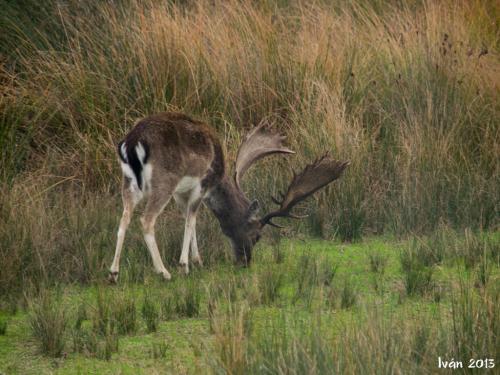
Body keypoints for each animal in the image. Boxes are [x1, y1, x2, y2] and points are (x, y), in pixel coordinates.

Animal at [108, 111, 348, 282]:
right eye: (257, 236)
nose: (245, 262)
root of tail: (132, 142)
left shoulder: (181, 193)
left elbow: (189, 220)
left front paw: (197, 261)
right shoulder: (201, 184)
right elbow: (191, 221)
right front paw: (186, 265)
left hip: (128, 182)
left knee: (124, 218)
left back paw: (113, 273)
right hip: (164, 181)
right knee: (146, 220)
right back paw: (163, 272)